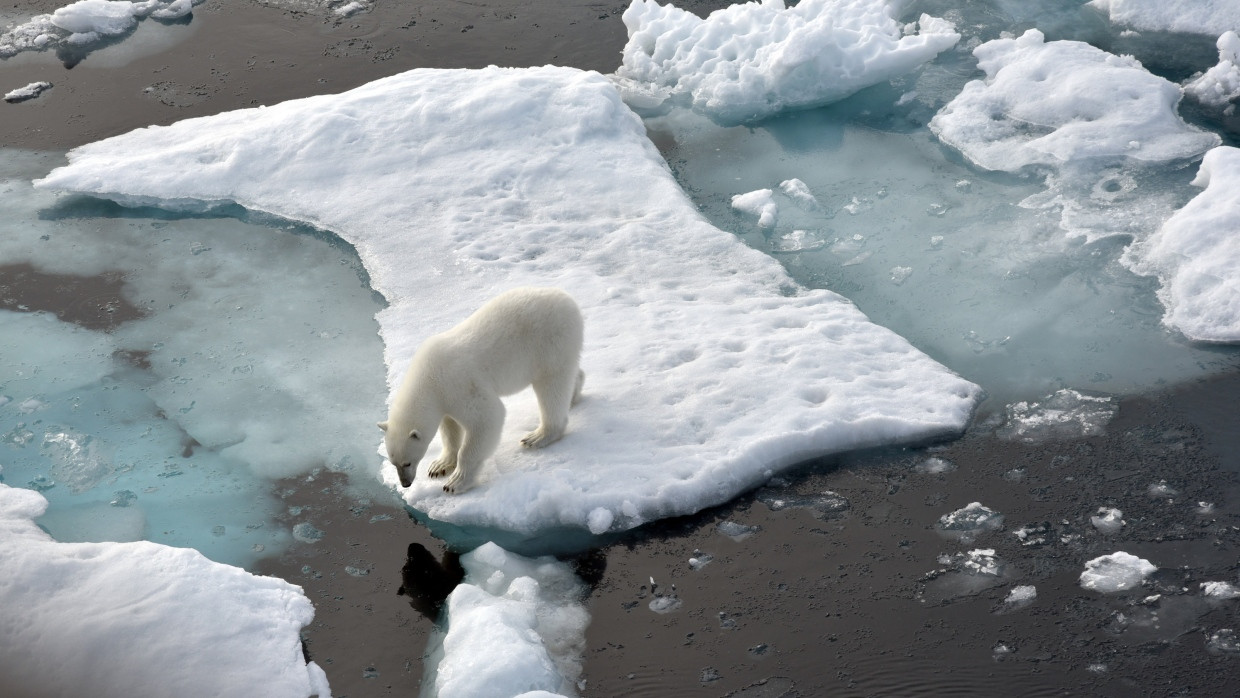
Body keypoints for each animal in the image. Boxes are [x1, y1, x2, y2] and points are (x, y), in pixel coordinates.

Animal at [376, 286, 585, 493]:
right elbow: (450, 428)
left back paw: (538, 436)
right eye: (393, 462)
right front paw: (439, 466)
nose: (405, 484)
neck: (428, 378)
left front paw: (455, 482)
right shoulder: (444, 398)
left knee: (551, 386)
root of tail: (568, 300)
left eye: (407, 462)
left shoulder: (459, 384)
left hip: (550, 341)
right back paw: (574, 394)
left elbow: (487, 418)